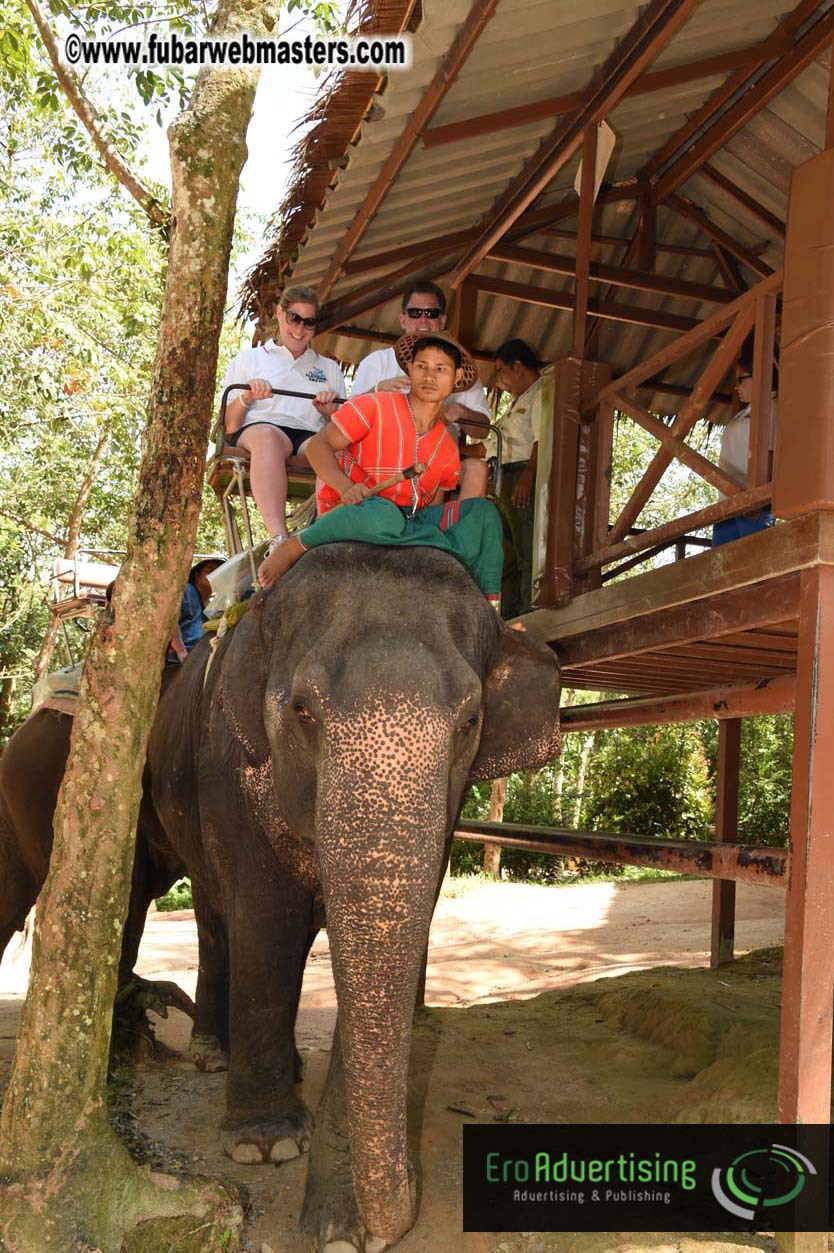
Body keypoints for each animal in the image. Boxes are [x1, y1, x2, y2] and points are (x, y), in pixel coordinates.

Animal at [147, 541, 561, 1251]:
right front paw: (265, 1145)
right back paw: (210, 1055)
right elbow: (267, 923)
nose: (409, 1198)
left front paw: (342, 1227)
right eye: (301, 710)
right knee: (215, 918)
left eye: (471, 721)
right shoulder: (229, 770)